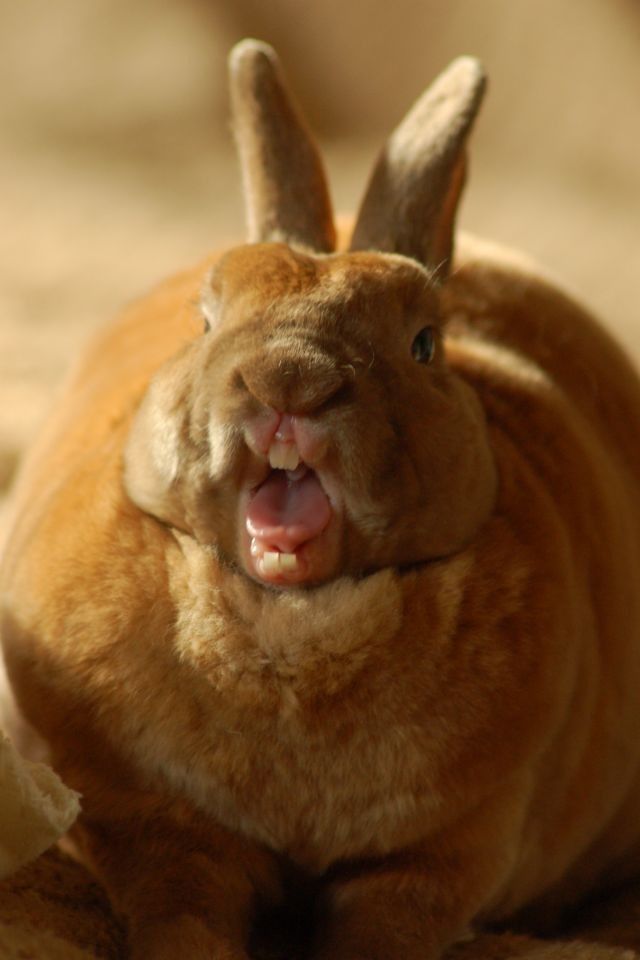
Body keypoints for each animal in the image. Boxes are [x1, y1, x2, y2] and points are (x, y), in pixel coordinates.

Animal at [1, 41, 640, 960]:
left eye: (424, 342)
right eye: (205, 318)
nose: (288, 381)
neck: (289, 631)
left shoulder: (441, 858)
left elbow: (381, 932)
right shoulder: (160, 828)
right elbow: (183, 913)